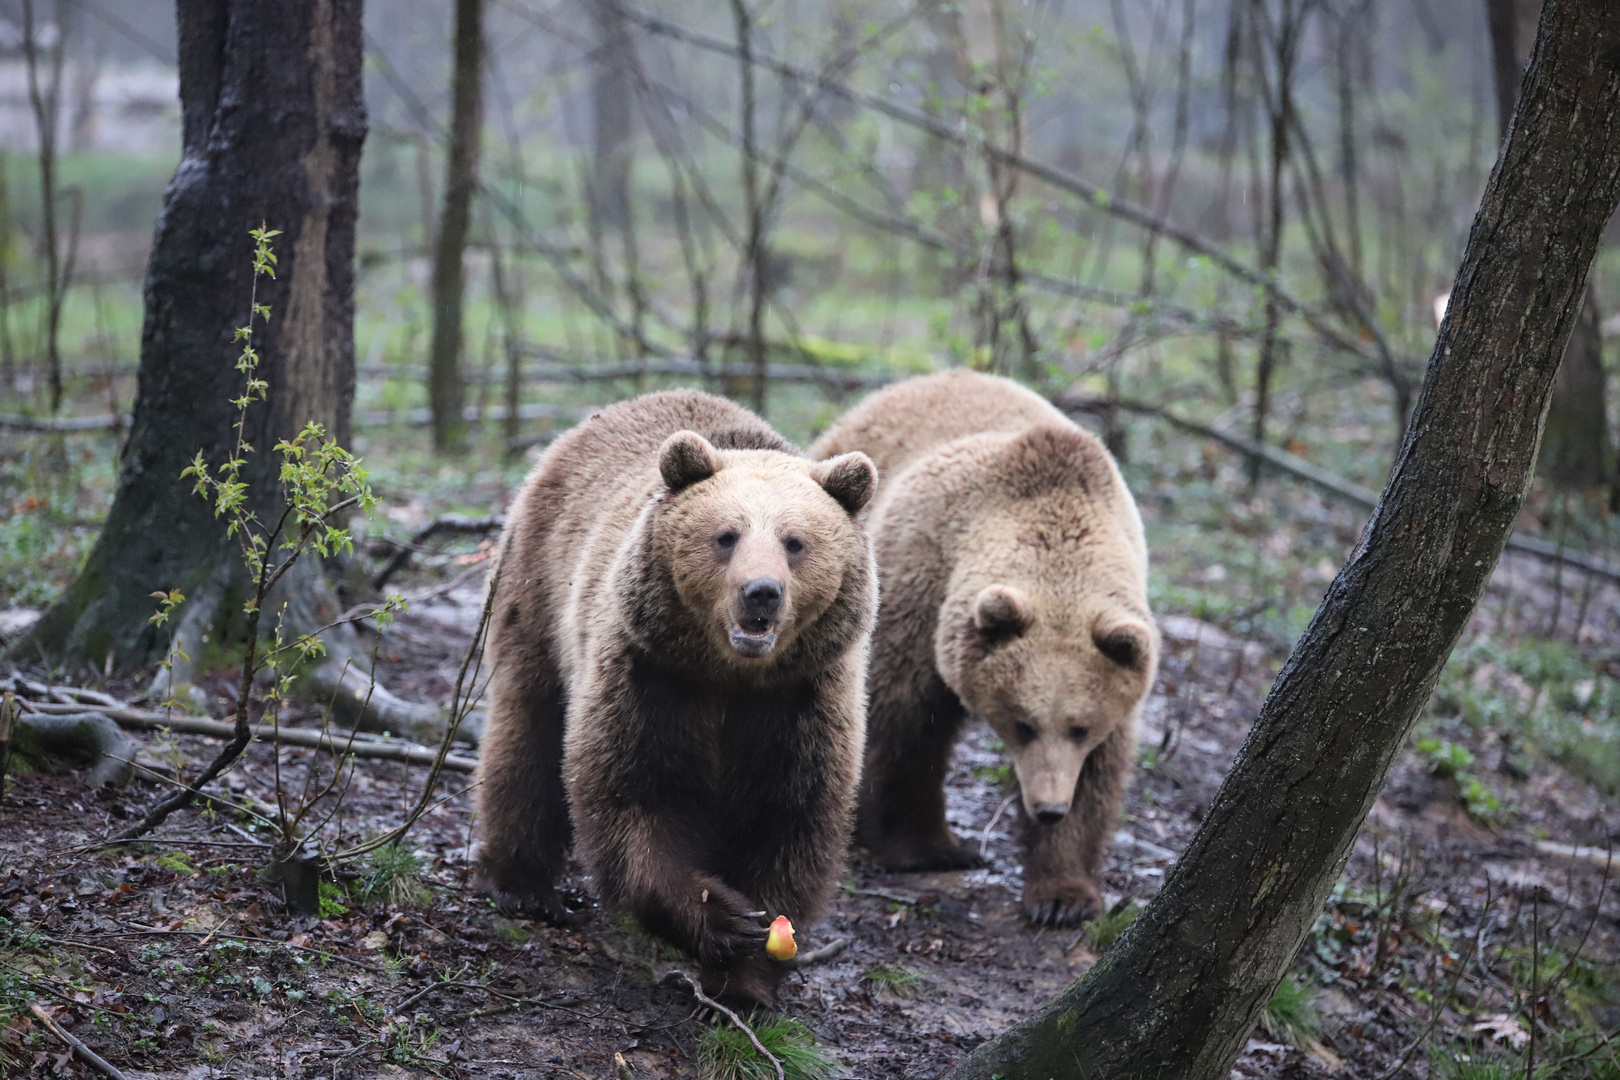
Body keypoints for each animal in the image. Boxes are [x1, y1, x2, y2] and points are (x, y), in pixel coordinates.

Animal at [473, 393, 881, 1010]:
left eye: (795, 541)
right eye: (727, 535)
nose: (761, 592)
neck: (730, 676)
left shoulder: (801, 702)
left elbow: (790, 820)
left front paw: (747, 981)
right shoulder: (650, 677)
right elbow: (632, 796)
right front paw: (723, 920)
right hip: (538, 588)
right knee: (527, 729)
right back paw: (523, 884)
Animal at [816, 374, 1159, 932]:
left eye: (1080, 727)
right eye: (1022, 724)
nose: (1048, 807)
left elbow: (1100, 773)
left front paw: (1062, 895)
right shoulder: (919, 591)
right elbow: (904, 723)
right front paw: (929, 849)